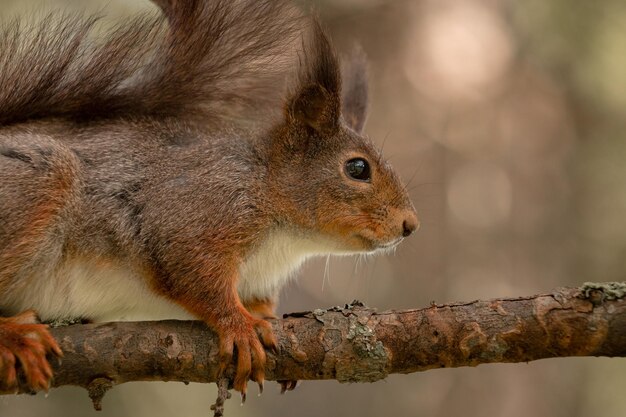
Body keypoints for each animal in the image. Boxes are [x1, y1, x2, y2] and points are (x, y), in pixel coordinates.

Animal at [1, 0, 420, 396]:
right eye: (357, 168)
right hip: (39, 182)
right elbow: (195, 275)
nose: (410, 225)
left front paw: (267, 319)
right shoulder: (197, 212)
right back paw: (15, 336)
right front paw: (239, 326)